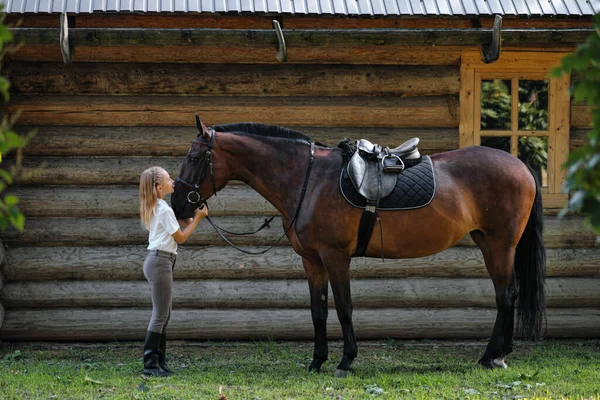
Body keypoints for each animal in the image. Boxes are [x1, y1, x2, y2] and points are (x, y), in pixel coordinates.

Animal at [171, 118, 548, 376]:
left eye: (194, 157)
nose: (178, 204)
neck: (308, 179)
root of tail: (521, 165)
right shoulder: (312, 261)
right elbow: (318, 311)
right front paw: (316, 361)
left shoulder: (336, 257)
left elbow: (344, 308)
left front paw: (345, 360)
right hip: (487, 242)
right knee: (507, 294)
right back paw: (498, 353)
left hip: (501, 244)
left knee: (506, 295)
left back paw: (493, 356)